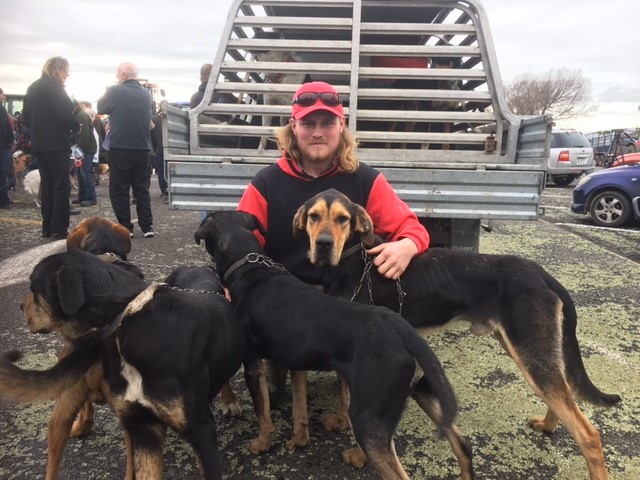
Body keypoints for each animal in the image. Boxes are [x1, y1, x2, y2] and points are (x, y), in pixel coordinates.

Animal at [0, 251, 245, 480]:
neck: (126, 321)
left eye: (34, 287)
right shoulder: (143, 429)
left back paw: (229, 400)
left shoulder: (201, 431)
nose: (20, 306)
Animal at [192, 210, 472, 480]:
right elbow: (300, 409)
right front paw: (299, 440)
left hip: (368, 419)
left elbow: (263, 414)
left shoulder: (252, 364)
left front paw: (261, 444)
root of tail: (405, 332)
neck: (252, 271)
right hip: (417, 391)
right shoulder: (297, 362)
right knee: (463, 445)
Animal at [296, 188, 624, 480]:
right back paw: (548, 425)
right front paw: (341, 421)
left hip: (531, 353)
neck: (351, 258)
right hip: (529, 350)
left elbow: (353, 400)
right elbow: (344, 393)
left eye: (343, 219)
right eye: (313, 216)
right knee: (564, 396)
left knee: (587, 433)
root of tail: (542, 273)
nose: (323, 244)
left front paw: (358, 453)